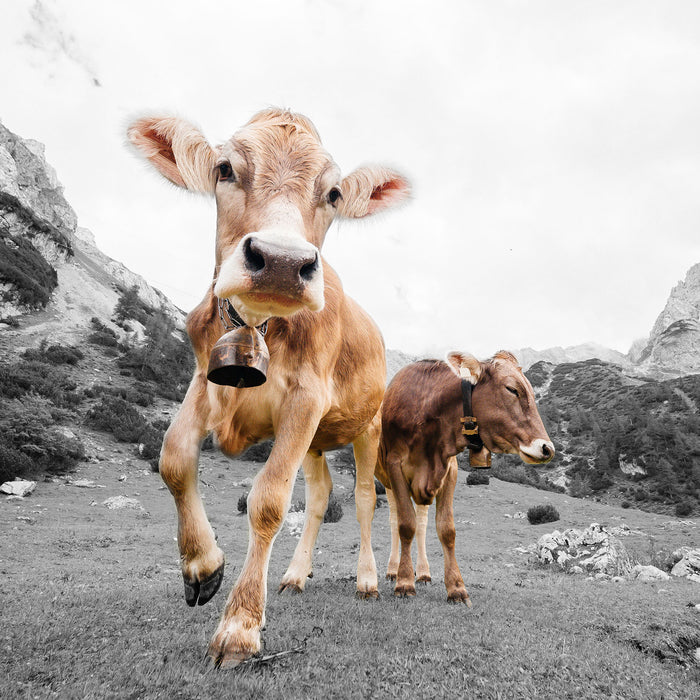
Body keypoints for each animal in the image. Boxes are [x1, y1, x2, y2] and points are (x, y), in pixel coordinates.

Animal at [128, 109, 410, 668]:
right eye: (225, 168)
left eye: (334, 193)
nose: (281, 261)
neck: (259, 325)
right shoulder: (205, 378)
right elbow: (174, 458)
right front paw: (202, 565)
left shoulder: (306, 399)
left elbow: (270, 501)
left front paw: (240, 627)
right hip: (318, 443)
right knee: (320, 497)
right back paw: (296, 574)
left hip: (366, 428)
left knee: (364, 499)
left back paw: (369, 579)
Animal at [374, 350, 556, 600]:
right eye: (512, 389)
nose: (547, 448)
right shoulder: (395, 465)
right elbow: (405, 526)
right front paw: (404, 582)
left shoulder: (449, 470)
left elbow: (446, 529)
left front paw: (456, 587)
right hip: (386, 480)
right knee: (396, 521)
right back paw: (394, 571)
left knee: (421, 523)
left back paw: (423, 573)